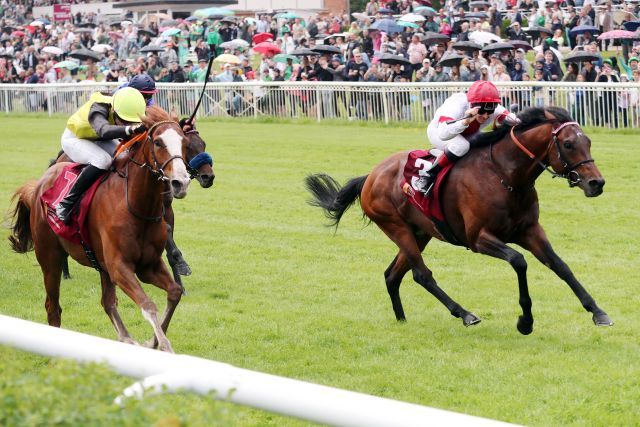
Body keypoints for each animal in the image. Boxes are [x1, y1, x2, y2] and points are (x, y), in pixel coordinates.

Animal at [8, 106, 192, 352]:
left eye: (184, 142)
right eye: (158, 142)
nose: (181, 183)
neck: (136, 204)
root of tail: (39, 184)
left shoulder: (148, 266)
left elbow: (174, 292)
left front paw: (150, 342)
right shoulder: (119, 267)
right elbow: (147, 304)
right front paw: (164, 347)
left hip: (100, 264)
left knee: (107, 302)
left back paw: (126, 338)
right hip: (50, 258)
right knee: (53, 307)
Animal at [308, 106, 612, 334]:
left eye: (588, 142)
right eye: (569, 144)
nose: (596, 183)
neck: (505, 175)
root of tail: (370, 176)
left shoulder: (529, 230)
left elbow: (560, 266)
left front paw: (598, 312)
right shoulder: (478, 238)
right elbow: (519, 261)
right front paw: (525, 321)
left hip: (420, 232)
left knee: (393, 275)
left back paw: (402, 319)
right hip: (396, 227)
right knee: (422, 275)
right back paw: (464, 313)